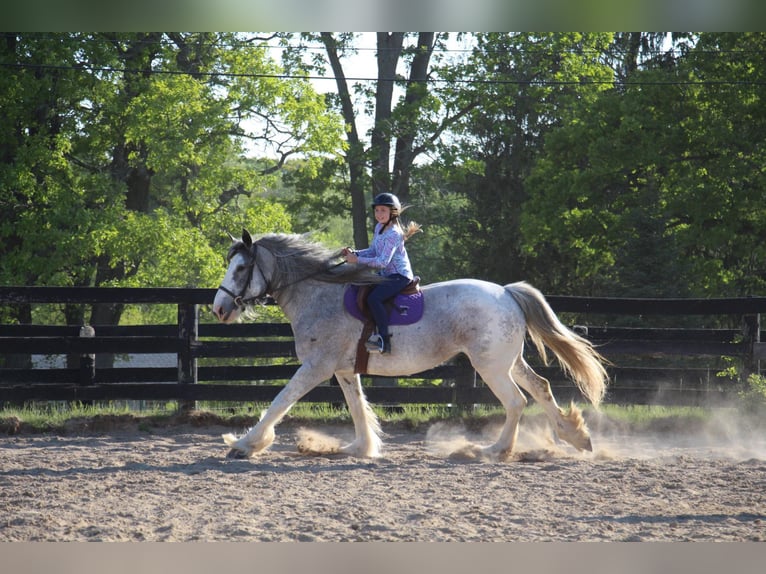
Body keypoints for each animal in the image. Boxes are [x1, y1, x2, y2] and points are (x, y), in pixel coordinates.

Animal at [213, 232, 608, 462]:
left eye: (242, 268)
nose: (219, 309)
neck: (318, 294)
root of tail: (507, 292)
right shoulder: (343, 370)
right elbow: (357, 408)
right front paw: (361, 448)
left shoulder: (316, 367)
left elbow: (279, 402)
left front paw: (245, 444)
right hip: (507, 361)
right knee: (540, 388)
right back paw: (575, 436)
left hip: (491, 366)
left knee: (516, 401)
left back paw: (494, 450)